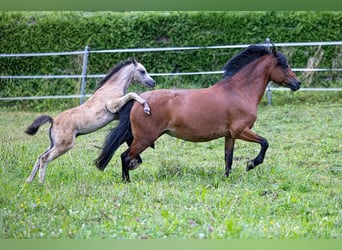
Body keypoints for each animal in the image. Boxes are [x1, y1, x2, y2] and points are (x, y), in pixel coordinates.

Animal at [24, 58, 156, 184]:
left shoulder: (116, 114)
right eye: (142, 71)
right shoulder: (112, 106)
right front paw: (146, 107)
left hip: (54, 144)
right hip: (64, 146)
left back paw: (29, 182)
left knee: (40, 157)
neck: (111, 88)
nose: (153, 82)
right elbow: (132, 94)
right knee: (44, 159)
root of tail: (53, 121)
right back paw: (41, 183)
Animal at [95, 45, 300, 182]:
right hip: (145, 138)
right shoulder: (241, 130)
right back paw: (127, 181)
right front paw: (250, 164)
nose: (297, 84)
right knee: (125, 156)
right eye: (284, 65)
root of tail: (140, 99)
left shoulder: (230, 135)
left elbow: (228, 158)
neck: (239, 91)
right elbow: (265, 143)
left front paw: (226, 178)